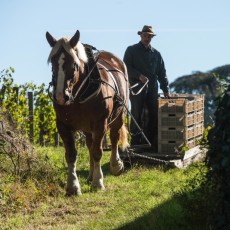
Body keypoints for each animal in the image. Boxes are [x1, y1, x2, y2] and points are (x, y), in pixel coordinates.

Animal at [45, 30, 129, 195]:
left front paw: (98, 182)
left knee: (114, 137)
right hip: (87, 127)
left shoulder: (100, 122)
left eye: (74, 63)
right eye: (52, 62)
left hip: (118, 115)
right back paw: (90, 175)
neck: (79, 95)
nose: (61, 96)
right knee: (90, 143)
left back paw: (115, 165)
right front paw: (73, 186)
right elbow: (71, 154)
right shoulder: (62, 124)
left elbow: (97, 151)